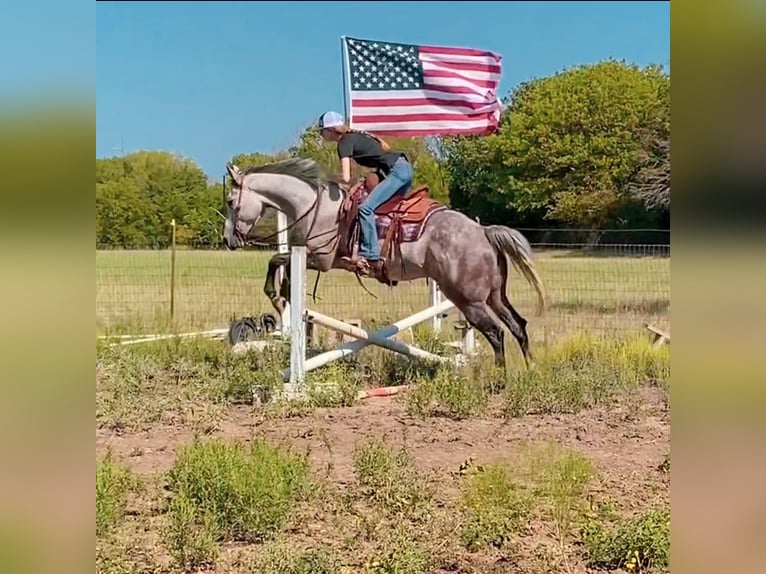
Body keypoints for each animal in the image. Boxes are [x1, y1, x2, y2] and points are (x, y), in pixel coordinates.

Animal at [219, 158, 548, 368]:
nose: (227, 240)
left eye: (230, 202)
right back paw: (530, 369)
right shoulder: (321, 260)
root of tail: (484, 232)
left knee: (496, 333)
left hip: (468, 299)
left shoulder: (320, 258)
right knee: (518, 325)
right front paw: (284, 296)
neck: (316, 205)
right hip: (494, 296)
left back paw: (499, 379)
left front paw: (276, 295)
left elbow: (278, 259)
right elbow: (282, 263)